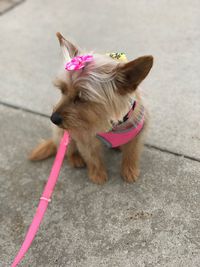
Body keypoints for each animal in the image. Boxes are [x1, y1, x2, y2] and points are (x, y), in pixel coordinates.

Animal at [29, 33, 154, 184]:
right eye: (62, 90)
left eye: (81, 98)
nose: (53, 119)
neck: (112, 124)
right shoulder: (84, 137)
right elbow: (92, 157)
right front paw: (98, 175)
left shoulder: (137, 136)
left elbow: (132, 153)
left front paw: (129, 170)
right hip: (64, 135)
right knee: (67, 150)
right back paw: (75, 158)